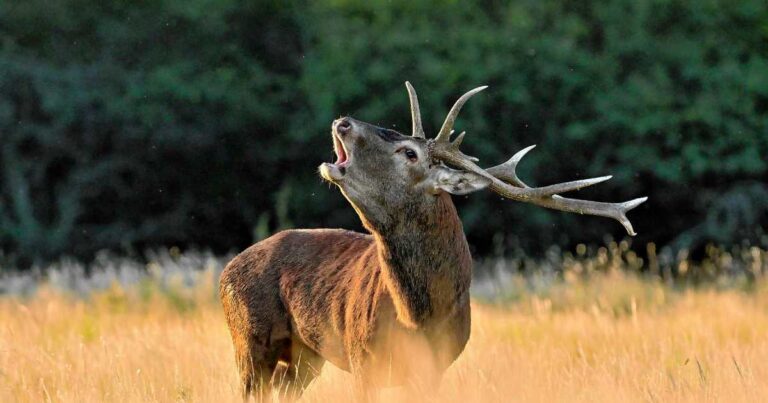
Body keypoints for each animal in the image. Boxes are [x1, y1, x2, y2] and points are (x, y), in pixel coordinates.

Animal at [219, 82, 647, 400]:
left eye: (409, 152)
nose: (343, 122)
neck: (418, 318)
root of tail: (228, 268)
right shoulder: (361, 360)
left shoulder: (433, 369)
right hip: (249, 338)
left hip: (304, 356)